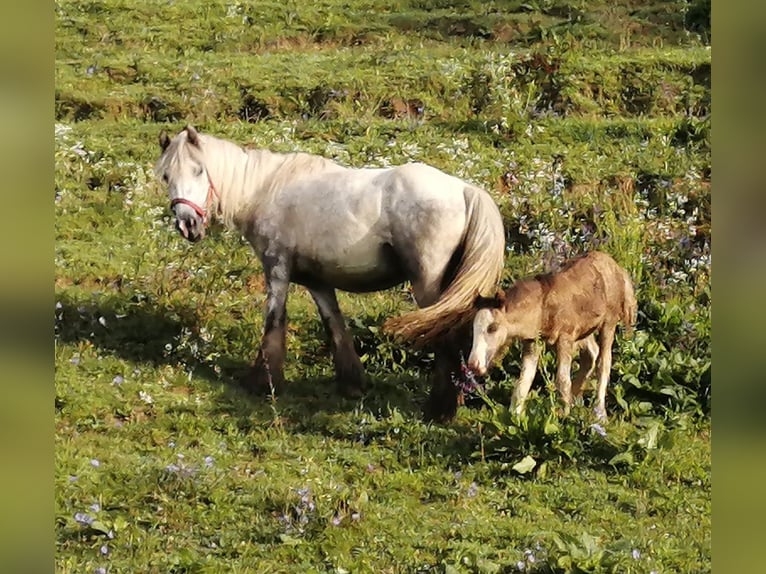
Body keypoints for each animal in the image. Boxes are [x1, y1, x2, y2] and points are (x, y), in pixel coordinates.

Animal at [154, 127, 510, 424]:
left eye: (199, 170)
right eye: (167, 175)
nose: (187, 224)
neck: (265, 189)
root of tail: (464, 189)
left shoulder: (277, 269)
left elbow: (274, 322)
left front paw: (263, 383)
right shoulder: (318, 283)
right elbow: (335, 326)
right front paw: (352, 384)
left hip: (429, 285)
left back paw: (440, 410)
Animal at [464, 251, 640, 418]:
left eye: (492, 327)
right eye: (473, 329)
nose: (473, 364)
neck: (542, 308)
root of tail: (618, 268)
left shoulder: (565, 337)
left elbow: (562, 379)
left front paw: (564, 417)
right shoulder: (532, 341)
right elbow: (523, 382)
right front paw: (515, 418)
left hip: (609, 322)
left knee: (604, 362)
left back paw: (599, 412)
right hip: (585, 330)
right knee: (591, 354)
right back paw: (576, 402)